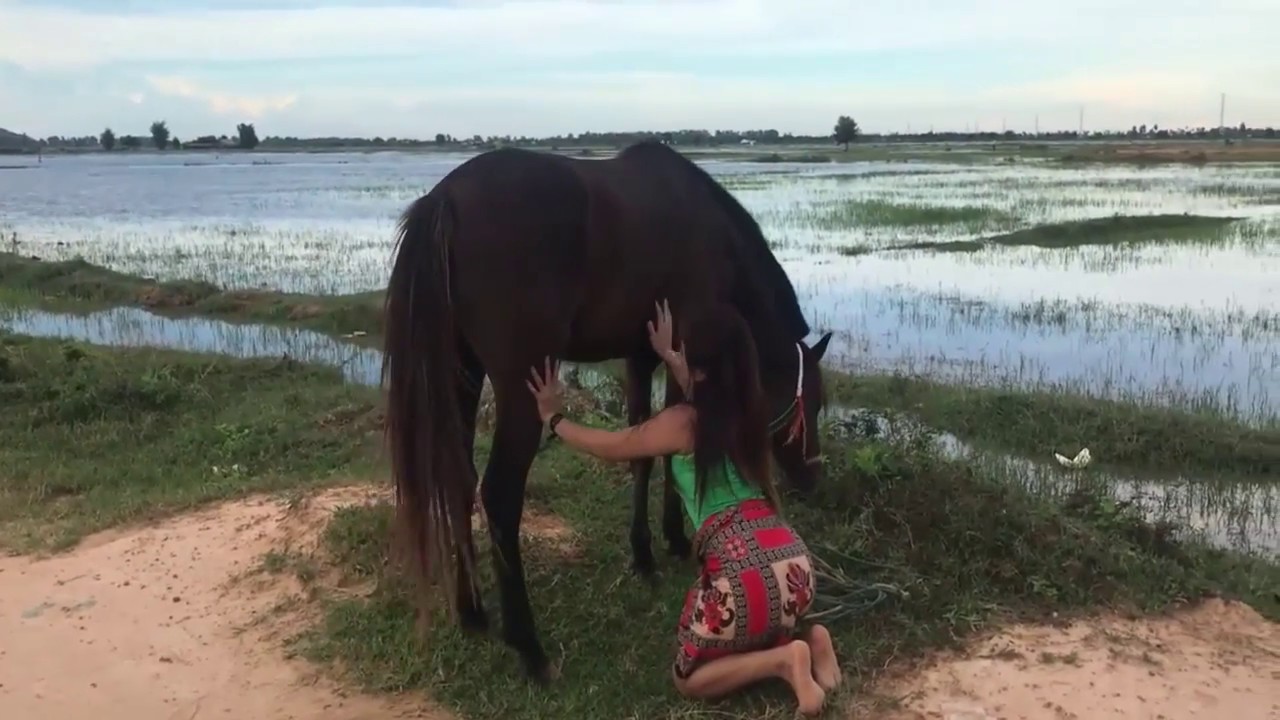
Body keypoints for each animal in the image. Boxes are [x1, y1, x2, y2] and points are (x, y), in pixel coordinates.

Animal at [381, 140, 832, 682]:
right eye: (813, 402)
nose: (812, 477)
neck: (712, 233)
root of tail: (445, 199)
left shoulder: (639, 359)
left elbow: (641, 451)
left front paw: (644, 552)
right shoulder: (681, 359)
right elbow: (671, 454)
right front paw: (675, 538)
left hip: (460, 376)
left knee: (458, 480)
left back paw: (472, 611)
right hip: (516, 390)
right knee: (499, 495)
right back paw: (528, 645)